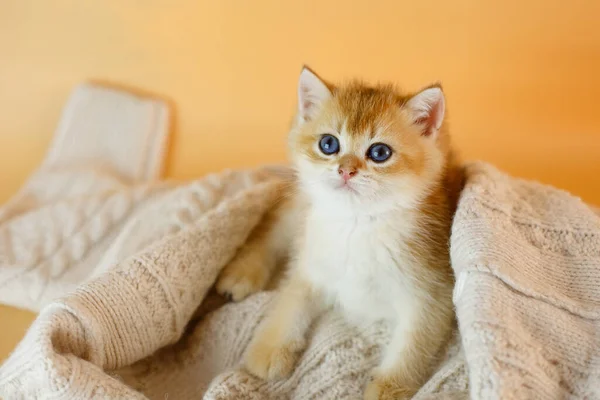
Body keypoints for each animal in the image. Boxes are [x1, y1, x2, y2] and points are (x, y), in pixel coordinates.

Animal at [217, 67, 464, 398]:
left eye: (380, 152)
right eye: (328, 144)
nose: (346, 170)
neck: (357, 224)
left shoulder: (434, 289)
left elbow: (415, 344)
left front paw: (389, 386)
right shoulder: (313, 261)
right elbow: (292, 299)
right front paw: (270, 348)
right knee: (270, 228)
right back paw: (242, 273)